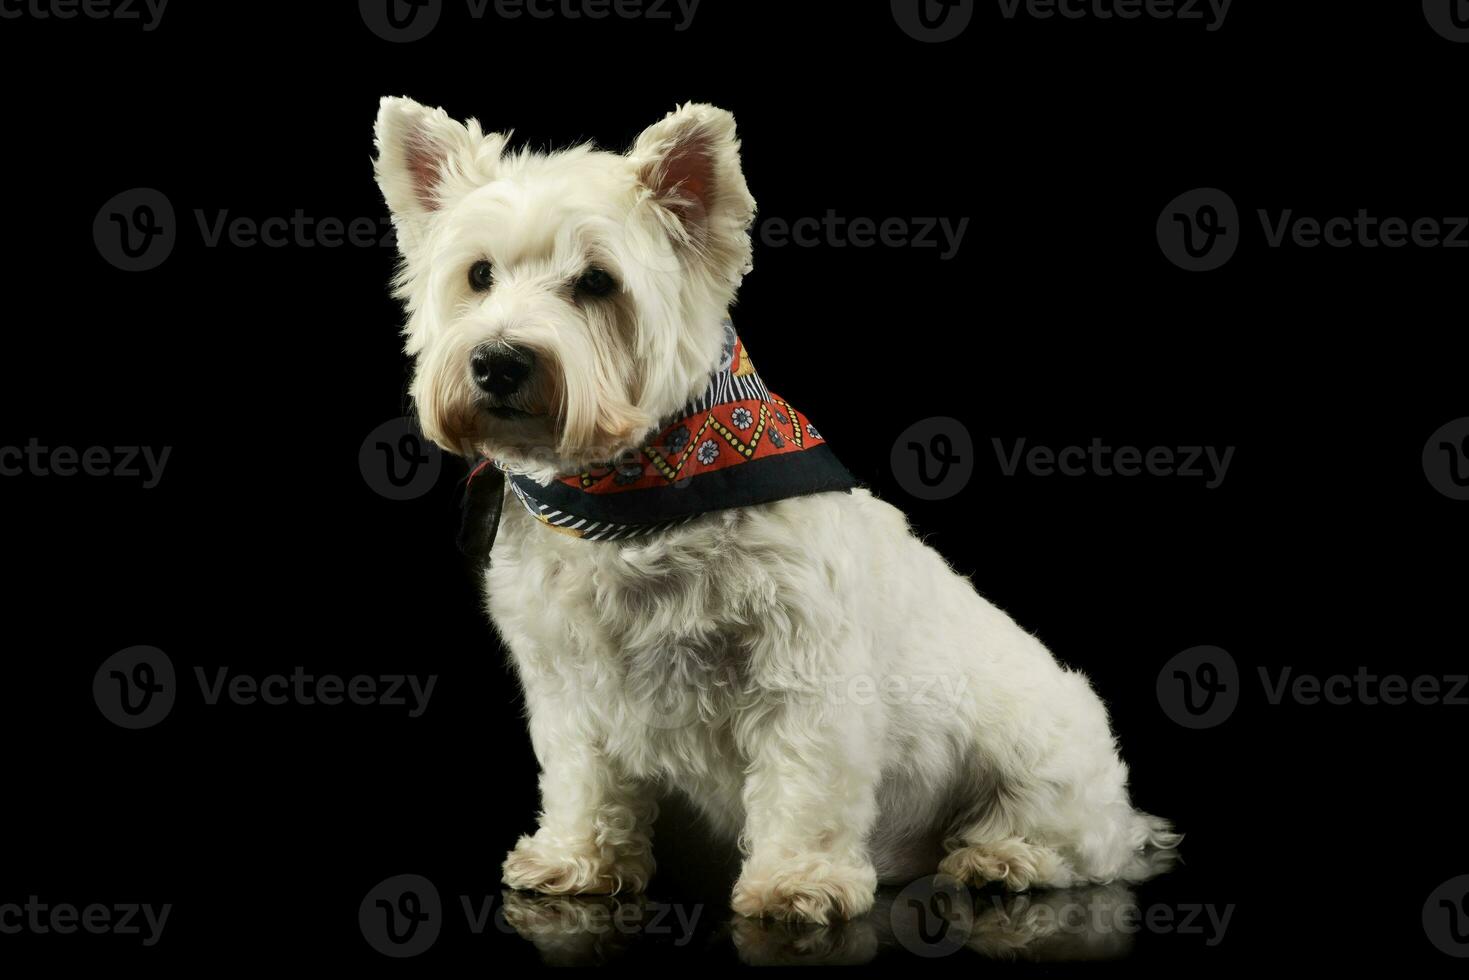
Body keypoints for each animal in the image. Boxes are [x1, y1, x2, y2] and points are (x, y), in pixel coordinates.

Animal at [373, 97, 1175, 928]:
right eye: (478, 275)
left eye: (596, 282)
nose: (497, 362)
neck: (630, 493)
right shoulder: (567, 682)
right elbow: (583, 779)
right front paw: (577, 859)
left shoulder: (805, 676)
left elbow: (805, 783)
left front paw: (798, 880)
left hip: (1043, 748)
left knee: (1073, 840)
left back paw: (1000, 857)